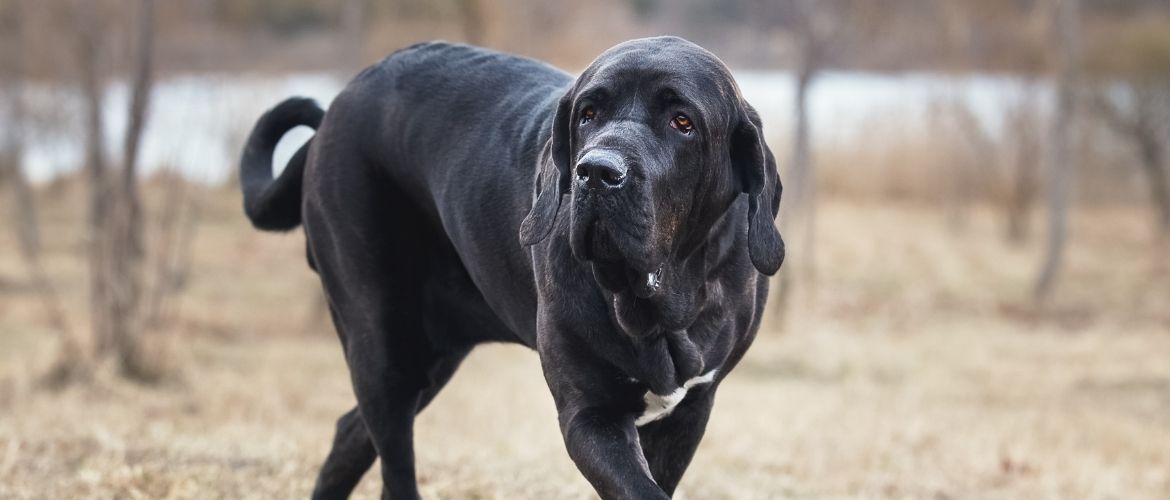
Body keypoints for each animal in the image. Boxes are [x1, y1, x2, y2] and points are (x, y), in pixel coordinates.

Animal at [238, 37, 786, 498]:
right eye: (588, 114)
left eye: (682, 122)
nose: (596, 172)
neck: (660, 302)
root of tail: (336, 105)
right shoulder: (591, 415)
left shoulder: (689, 411)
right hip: (382, 344)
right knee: (392, 464)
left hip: (432, 355)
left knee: (351, 433)